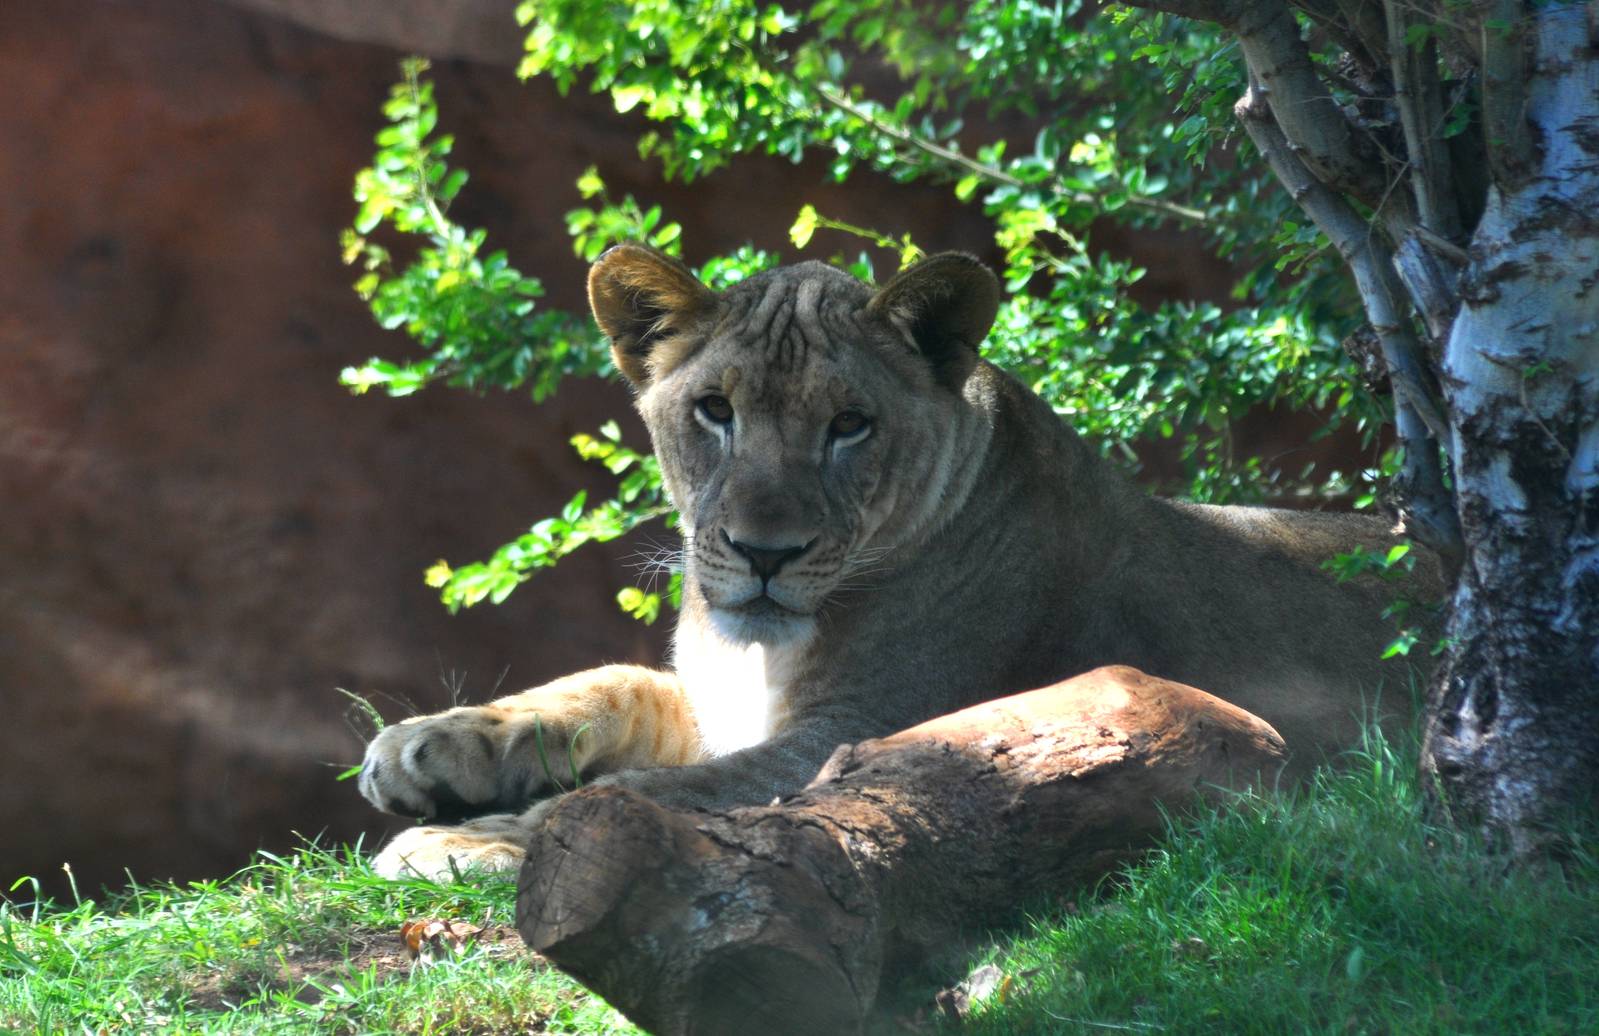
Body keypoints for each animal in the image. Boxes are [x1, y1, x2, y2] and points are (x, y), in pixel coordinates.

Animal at [359, 245, 1433, 879]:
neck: (760, 647)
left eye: (850, 426)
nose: (763, 553)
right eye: (714, 410)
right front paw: (424, 748)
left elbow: (638, 795)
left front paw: (456, 839)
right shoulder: (713, 700)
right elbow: (602, 684)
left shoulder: (858, 731)